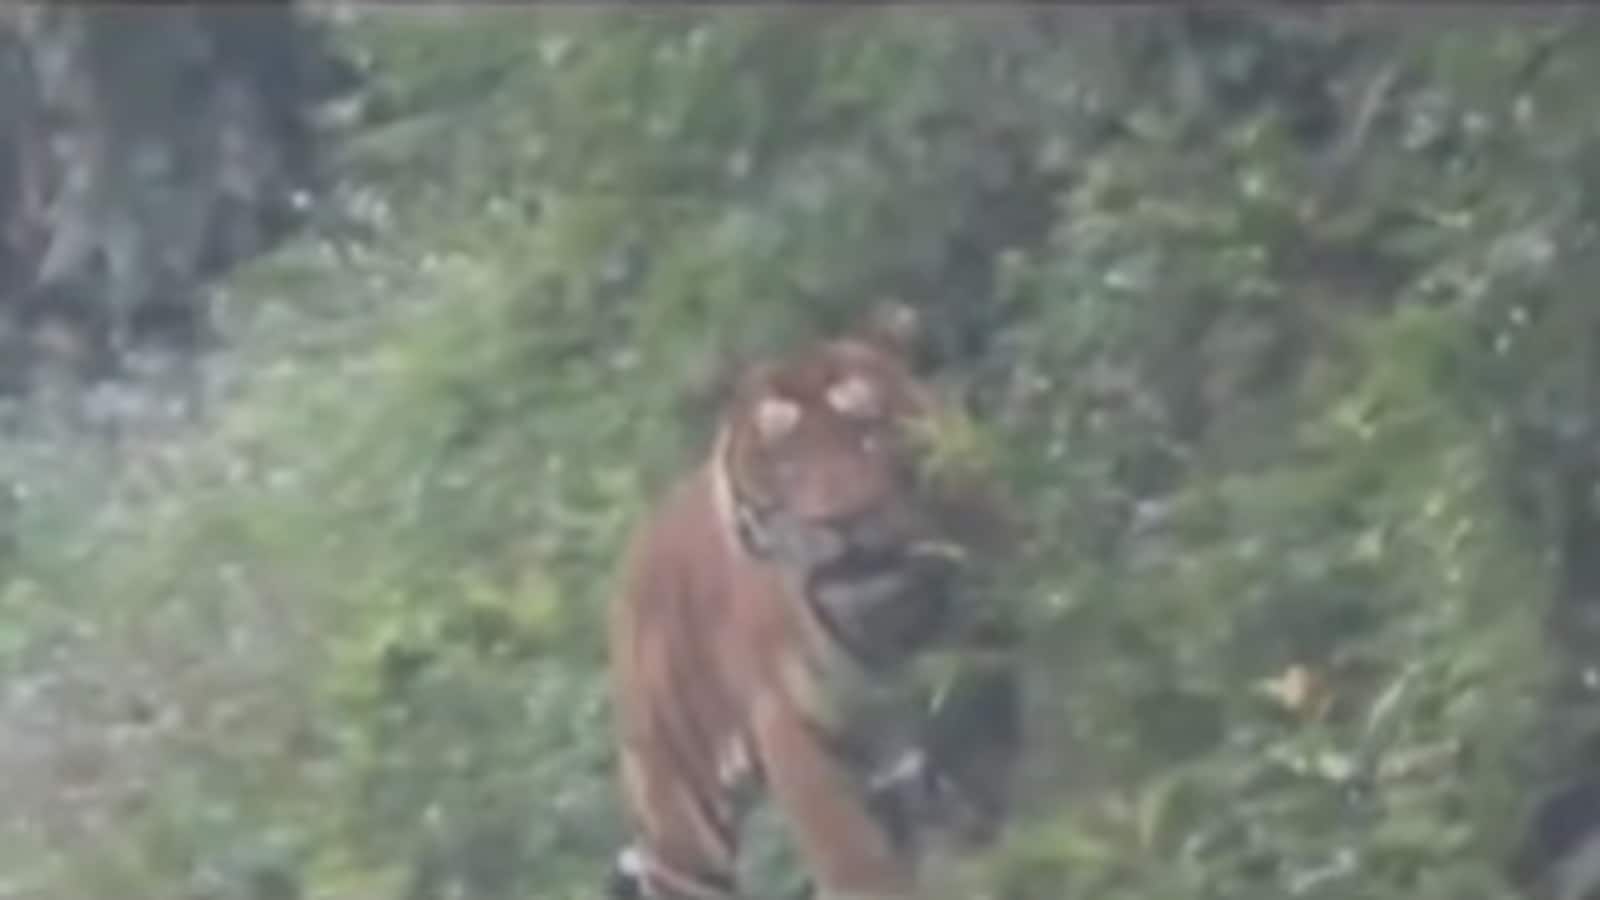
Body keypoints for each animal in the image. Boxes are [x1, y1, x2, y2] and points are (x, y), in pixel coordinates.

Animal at [605, 305, 1021, 900]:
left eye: (868, 430)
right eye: (785, 459)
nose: (842, 519)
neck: (889, 617)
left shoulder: (985, 667)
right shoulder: (794, 727)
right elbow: (853, 860)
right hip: (681, 814)